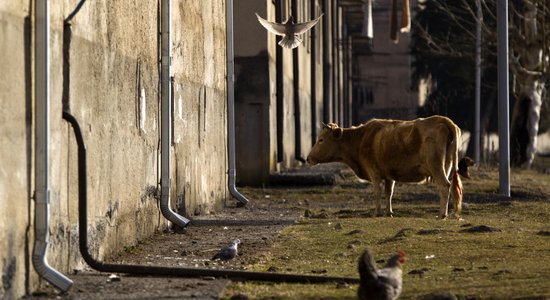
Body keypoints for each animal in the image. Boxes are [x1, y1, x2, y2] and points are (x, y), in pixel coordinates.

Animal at [308, 116, 472, 219]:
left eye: (321, 140)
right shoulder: (389, 175)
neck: (361, 138)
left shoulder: (374, 172)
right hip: (447, 165)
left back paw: (442, 214)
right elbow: (389, 192)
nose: (308, 158)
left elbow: (377, 192)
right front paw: (389, 212)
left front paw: (377, 212)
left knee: (444, 186)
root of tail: (443, 119)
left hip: (436, 166)